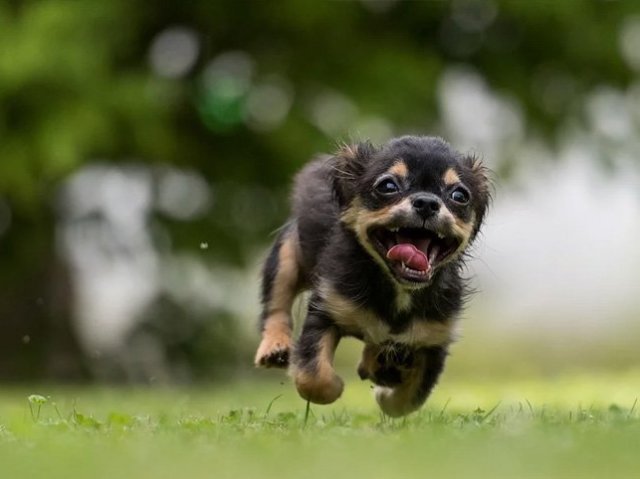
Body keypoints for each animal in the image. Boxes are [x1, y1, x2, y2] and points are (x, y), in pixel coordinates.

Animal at [254, 135, 490, 416]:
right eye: (388, 186)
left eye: (459, 195)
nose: (427, 202)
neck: (398, 289)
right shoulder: (326, 310)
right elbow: (314, 378)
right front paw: (336, 386)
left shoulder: (433, 340)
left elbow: (407, 401)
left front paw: (385, 392)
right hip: (287, 256)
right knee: (276, 305)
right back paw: (275, 347)